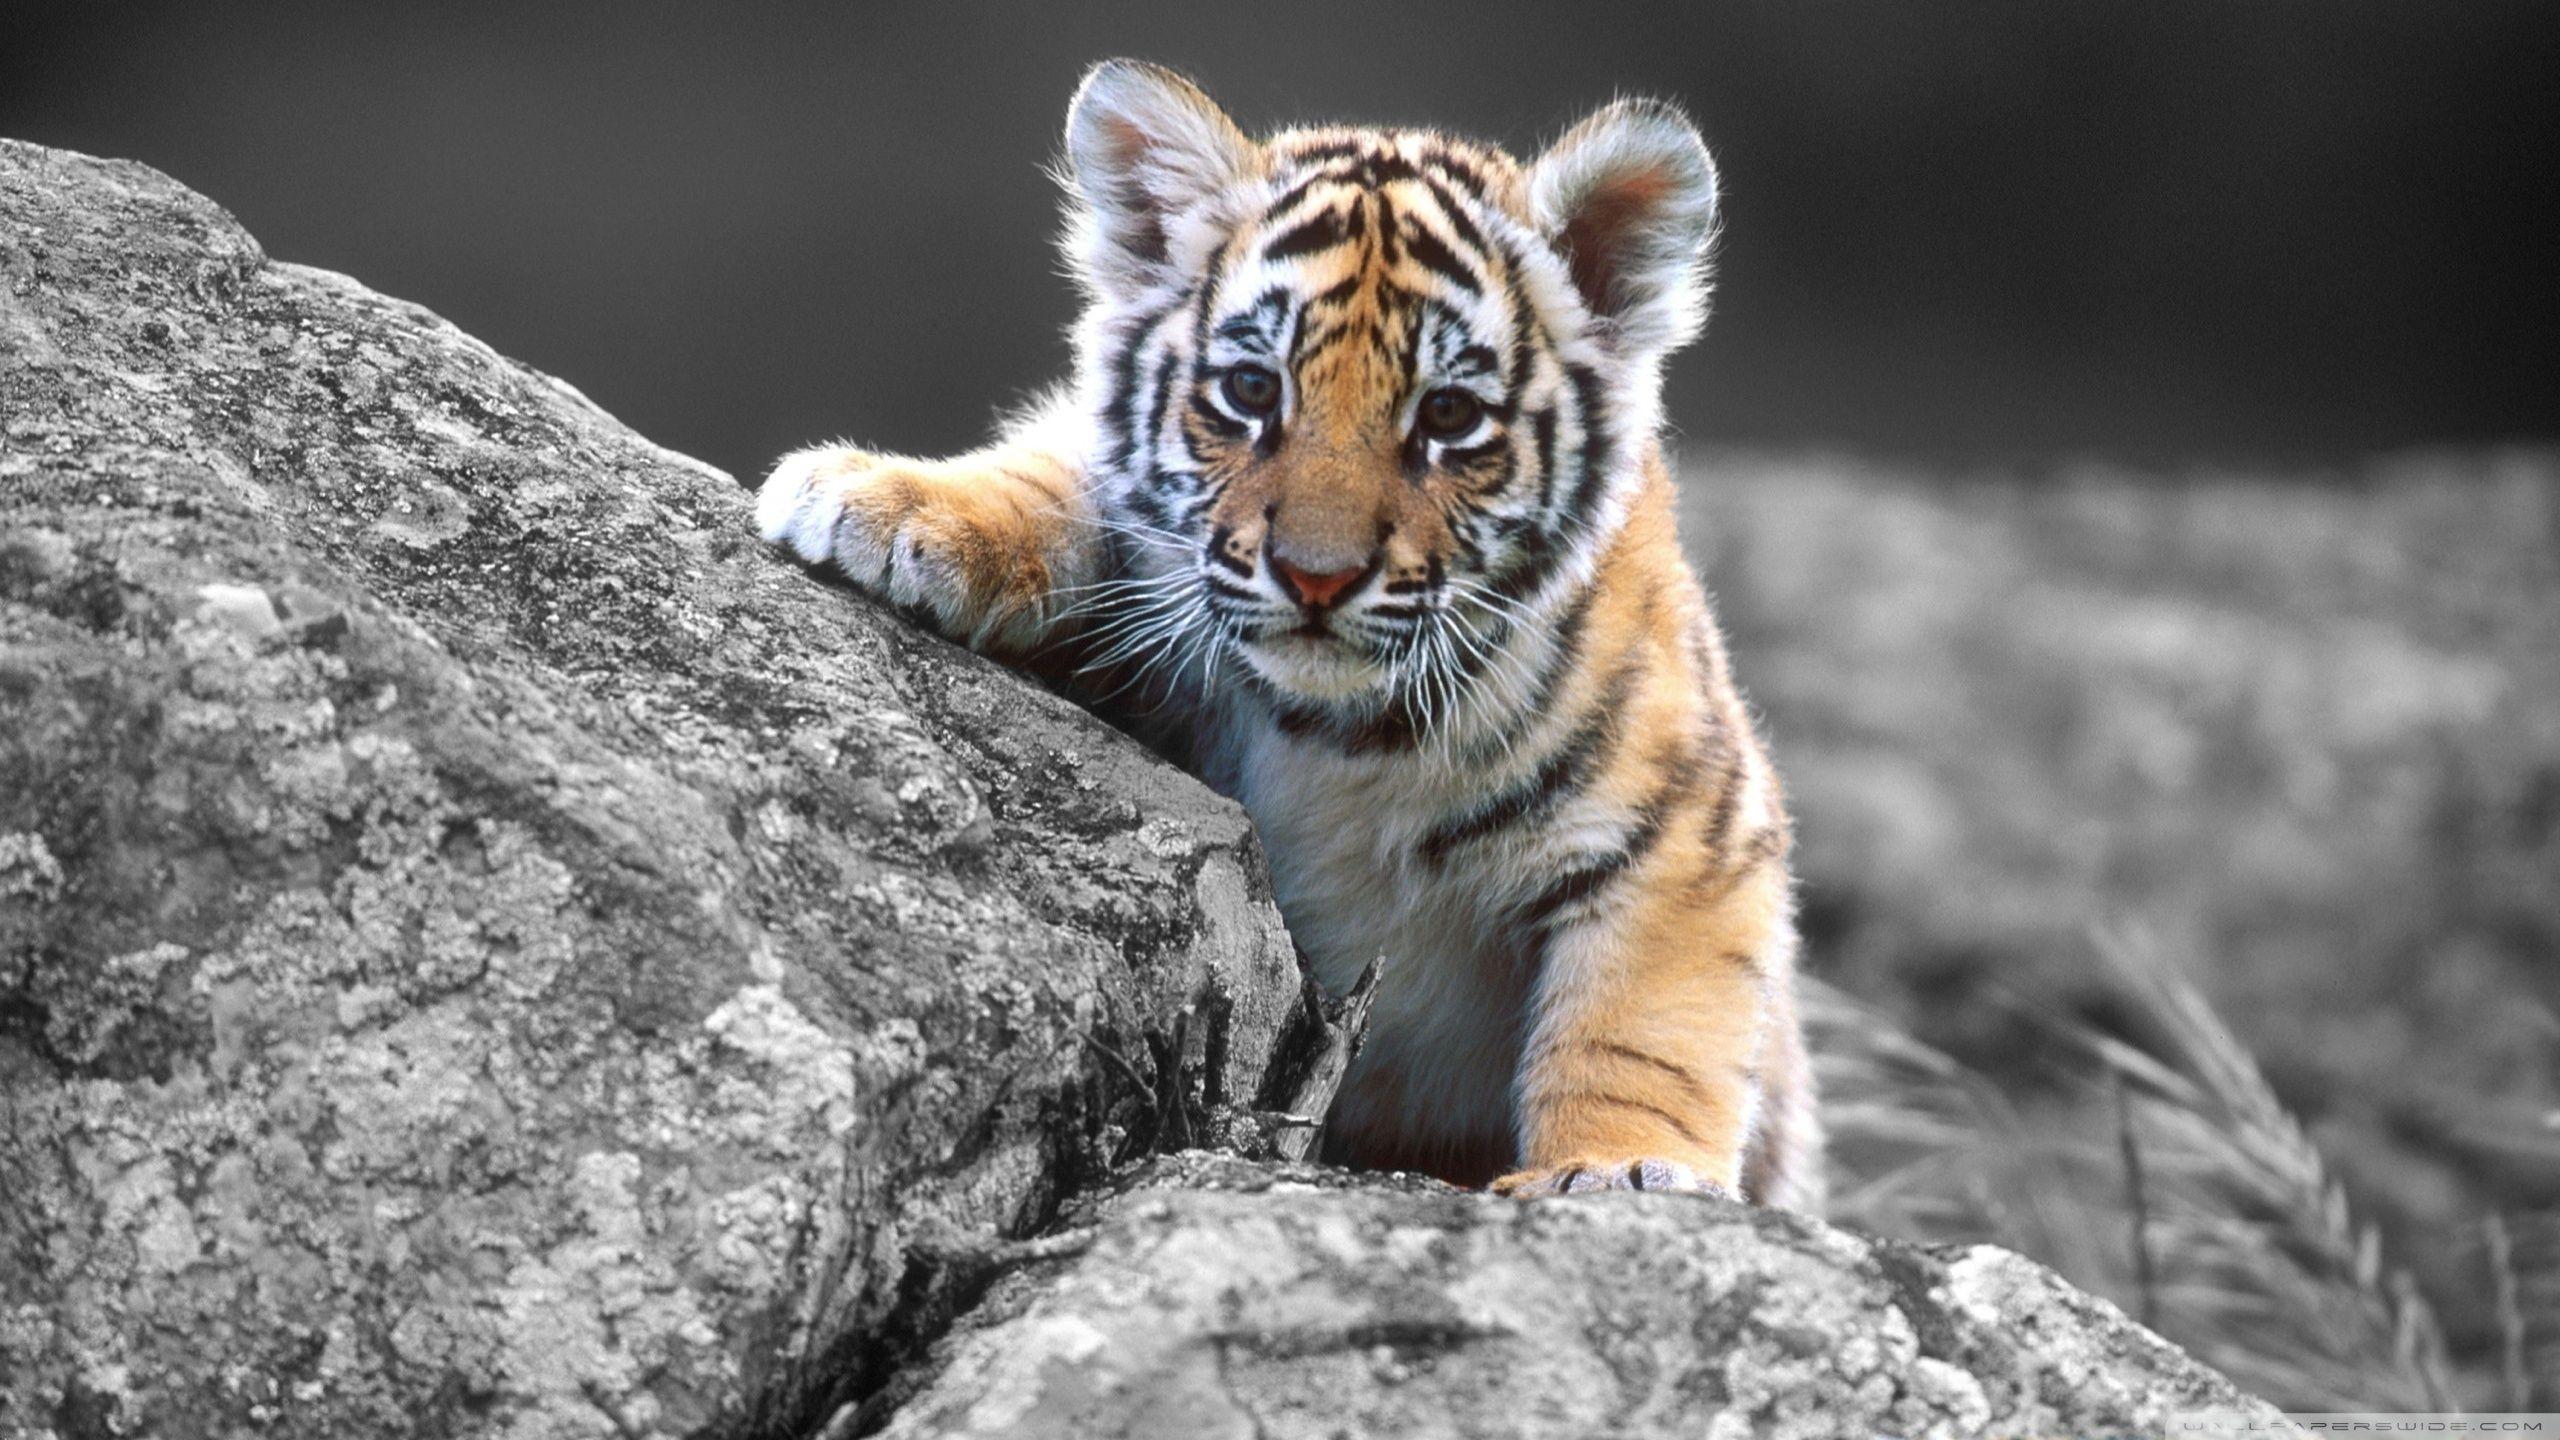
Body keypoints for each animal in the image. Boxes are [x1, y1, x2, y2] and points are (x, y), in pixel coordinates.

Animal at [757, 59, 1819, 1207]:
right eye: (1251, 389)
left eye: (1449, 417)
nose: (1317, 576)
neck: (1340, 736)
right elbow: (1059, 476)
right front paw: (883, 502)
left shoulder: (1690, 833)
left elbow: (1640, 1030)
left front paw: (1616, 1171)